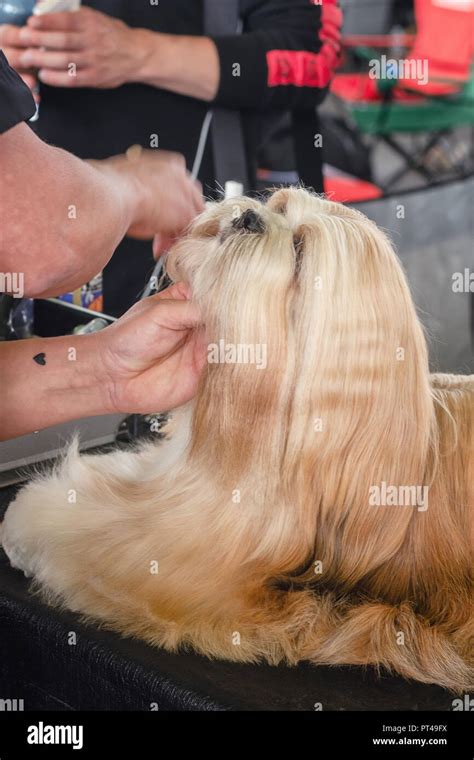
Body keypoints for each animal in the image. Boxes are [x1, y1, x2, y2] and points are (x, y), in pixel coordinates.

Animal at [1, 189, 472, 688]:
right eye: (279, 207)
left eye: (299, 252)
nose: (248, 216)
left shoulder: (189, 569)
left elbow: (98, 544)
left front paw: (30, 526)